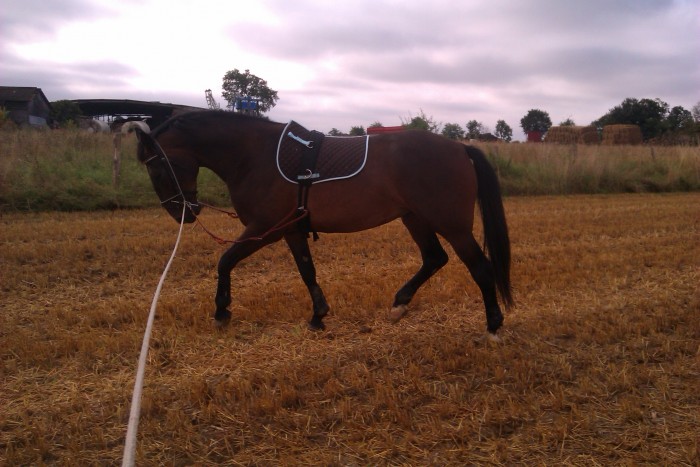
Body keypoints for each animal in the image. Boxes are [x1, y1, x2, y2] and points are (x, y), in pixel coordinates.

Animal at [128, 111, 513, 339]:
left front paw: (222, 310)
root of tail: (460, 148)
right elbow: (307, 271)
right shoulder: (291, 230)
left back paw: (493, 325)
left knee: (479, 267)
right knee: (435, 258)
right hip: (414, 217)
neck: (255, 156)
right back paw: (400, 304)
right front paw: (318, 315)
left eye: (156, 166)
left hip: (452, 225)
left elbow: (225, 261)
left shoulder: (265, 228)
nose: (183, 213)